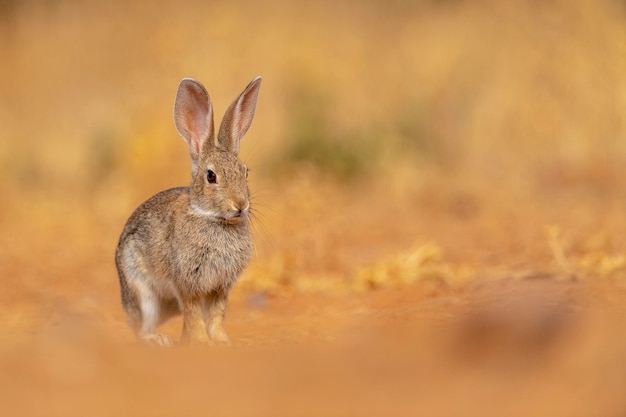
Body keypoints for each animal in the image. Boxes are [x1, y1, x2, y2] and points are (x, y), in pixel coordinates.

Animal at [114, 76, 260, 346]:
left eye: (245, 172)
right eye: (211, 176)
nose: (241, 205)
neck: (214, 219)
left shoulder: (220, 287)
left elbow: (216, 315)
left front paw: (221, 341)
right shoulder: (186, 284)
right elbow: (194, 315)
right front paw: (202, 342)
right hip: (142, 292)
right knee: (140, 328)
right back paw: (157, 340)